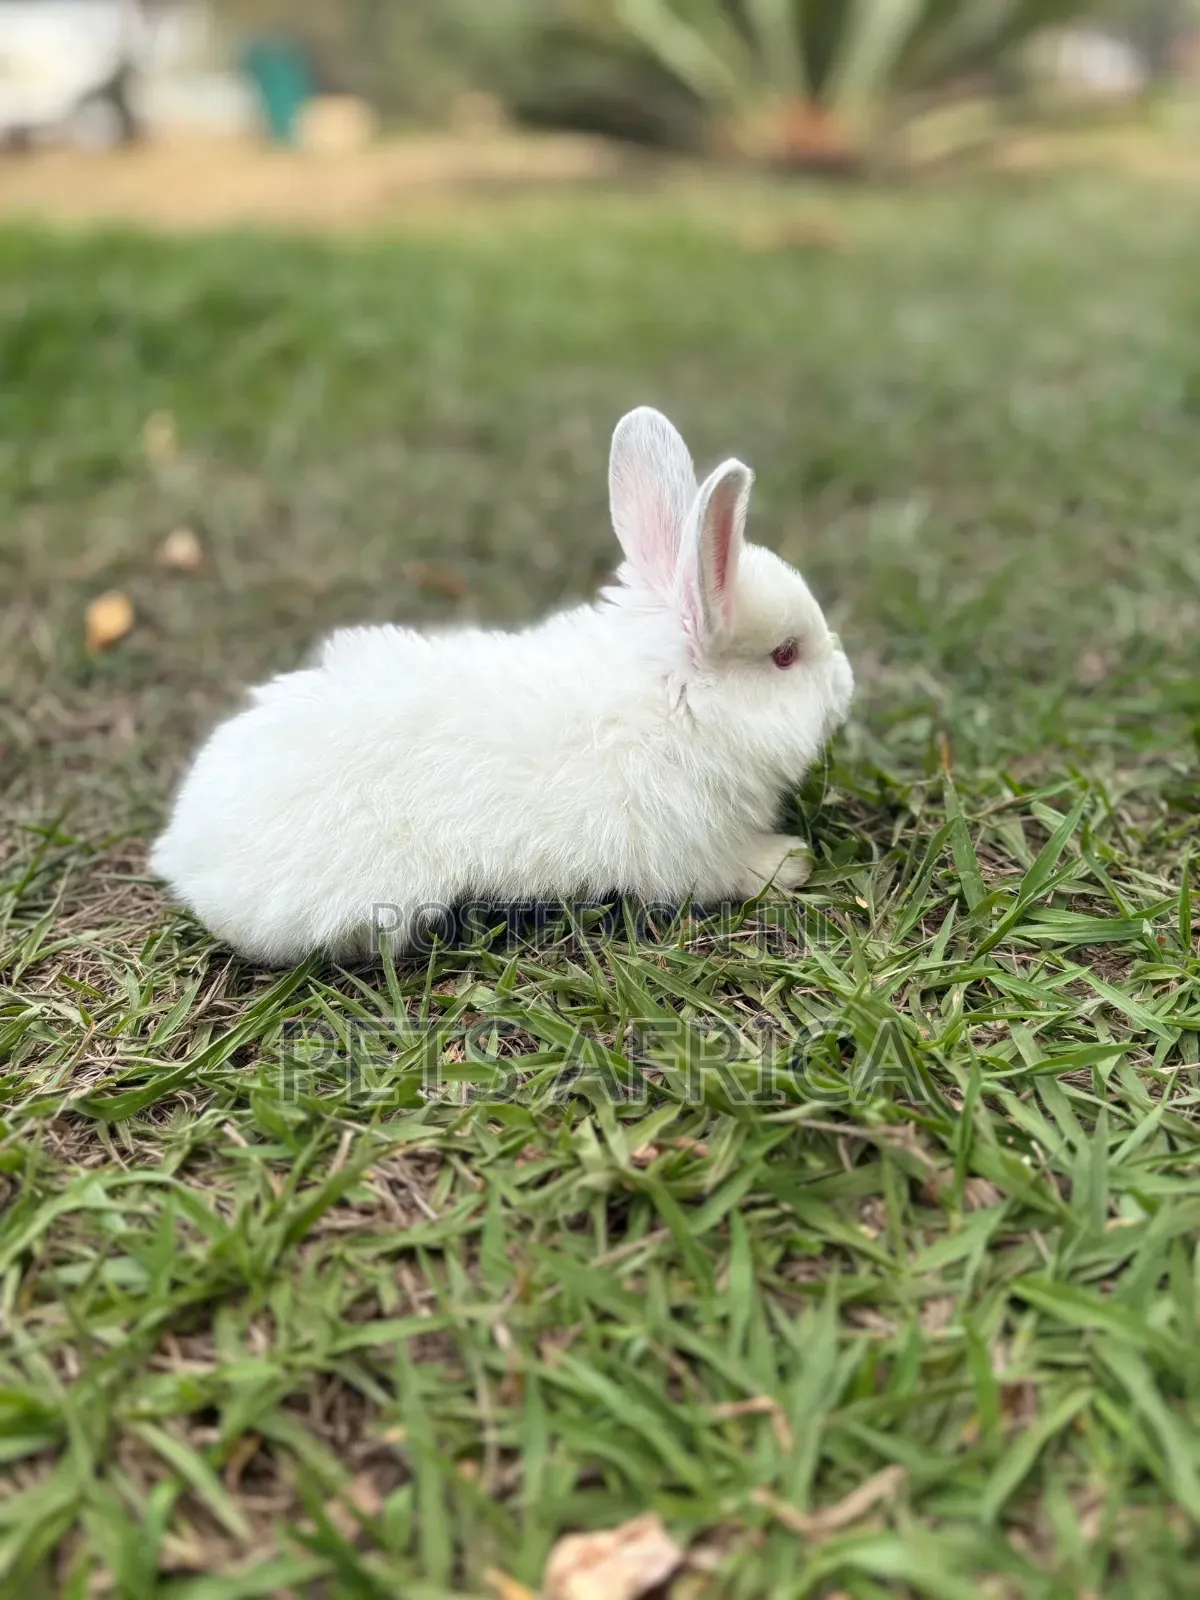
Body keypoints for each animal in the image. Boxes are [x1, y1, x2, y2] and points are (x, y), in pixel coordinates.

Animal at [151, 407, 855, 966]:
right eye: (785, 656)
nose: (846, 683)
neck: (673, 702)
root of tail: (186, 852)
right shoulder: (691, 853)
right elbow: (733, 871)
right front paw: (791, 861)